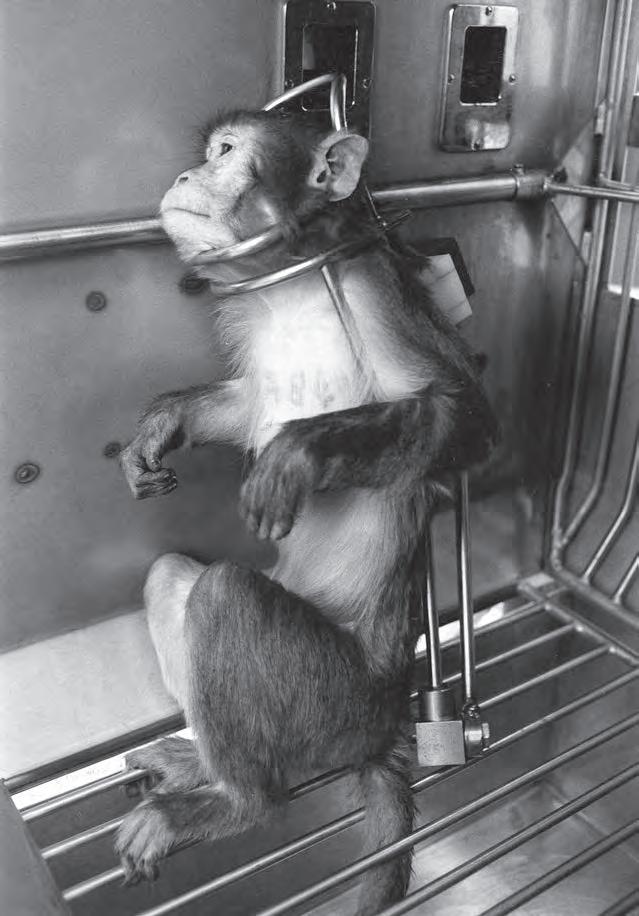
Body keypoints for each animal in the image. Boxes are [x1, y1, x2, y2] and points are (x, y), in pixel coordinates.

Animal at [115, 107, 497, 914]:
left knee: (226, 595)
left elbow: (468, 421)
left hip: (332, 701)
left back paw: (240, 804)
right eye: (207, 154)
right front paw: (163, 423)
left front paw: (294, 454)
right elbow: (246, 408)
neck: (290, 292)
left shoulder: (376, 293)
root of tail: (382, 727)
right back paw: (206, 771)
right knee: (174, 578)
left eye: (227, 153)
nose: (185, 175)